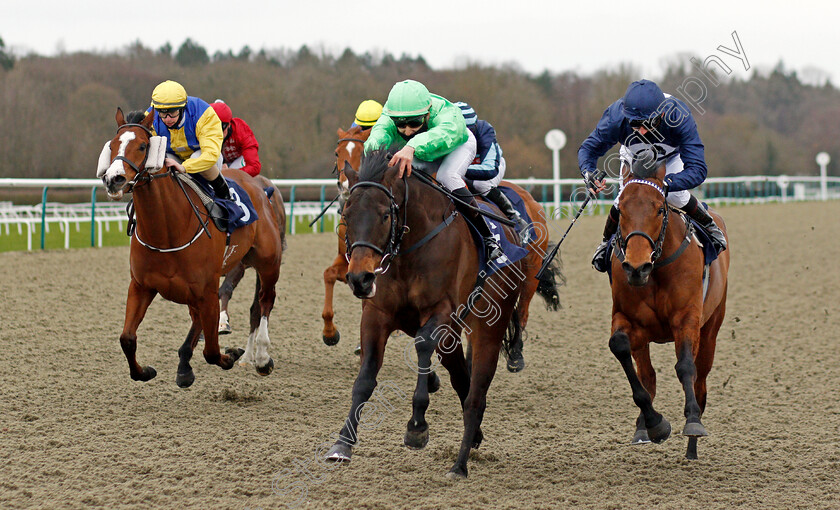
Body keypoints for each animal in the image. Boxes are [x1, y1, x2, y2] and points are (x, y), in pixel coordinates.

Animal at [100, 107, 286, 386]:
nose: (114, 179)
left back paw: (262, 357)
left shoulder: (206, 290)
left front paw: (231, 354)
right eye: (112, 145)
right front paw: (146, 371)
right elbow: (127, 339)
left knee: (264, 301)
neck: (167, 231)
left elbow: (212, 351)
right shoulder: (142, 286)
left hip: (268, 262)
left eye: (143, 146)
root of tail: (260, 187)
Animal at [324, 147, 556, 478]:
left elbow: (423, 345)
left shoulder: (441, 312)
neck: (409, 248)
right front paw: (342, 444)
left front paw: (417, 426)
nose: (360, 278)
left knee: (475, 380)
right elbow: (366, 377)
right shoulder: (376, 314)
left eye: (385, 214)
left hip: (490, 318)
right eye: (346, 215)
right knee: (461, 376)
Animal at [608, 161, 732, 460]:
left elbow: (686, 367)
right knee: (648, 374)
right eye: (620, 211)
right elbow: (620, 347)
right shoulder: (629, 321)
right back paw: (643, 427)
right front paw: (655, 424)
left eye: (660, 209)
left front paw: (693, 422)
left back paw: (692, 448)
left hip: (711, 328)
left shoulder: (687, 319)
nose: (636, 267)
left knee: (700, 381)